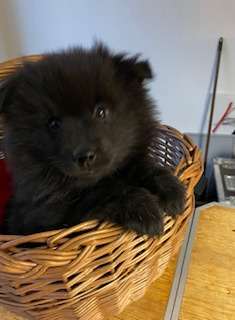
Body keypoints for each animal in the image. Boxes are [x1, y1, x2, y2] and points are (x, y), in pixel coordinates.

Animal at [0, 43, 185, 235]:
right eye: (53, 123)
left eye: (101, 111)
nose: (85, 156)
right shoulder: (49, 214)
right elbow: (101, 192)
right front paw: (144, 209)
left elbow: (141, 167)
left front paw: (170, 189)